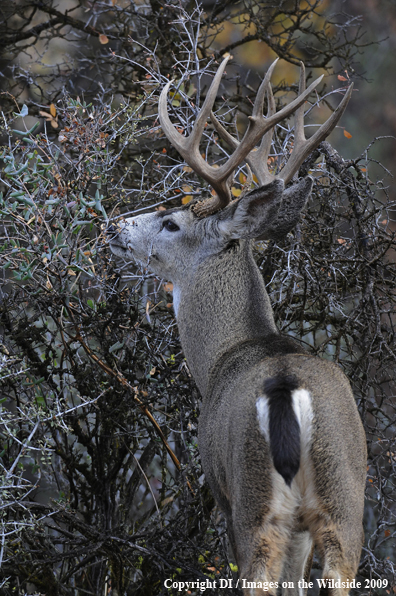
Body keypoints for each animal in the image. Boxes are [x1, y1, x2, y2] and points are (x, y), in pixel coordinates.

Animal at [107, 57, 366, 596]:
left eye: (172, 223)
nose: (115, 226)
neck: (228, 352)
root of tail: (287, 389)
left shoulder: (219, 483)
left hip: (251, 494)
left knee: (258, 576)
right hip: (343, 493)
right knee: (336, 571)